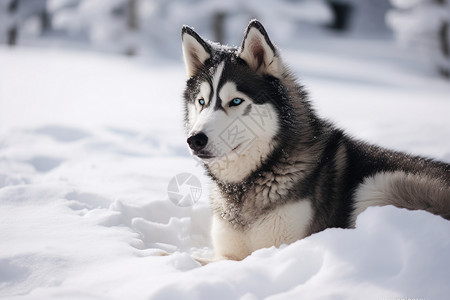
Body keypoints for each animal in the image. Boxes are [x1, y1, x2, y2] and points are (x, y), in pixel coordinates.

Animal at [180, 19, 450, 262]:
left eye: (235, 101)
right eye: (202, 101)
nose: (195, 140)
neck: (250, 181)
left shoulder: (278, 247)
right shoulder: (228, 251)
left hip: (378, 184)